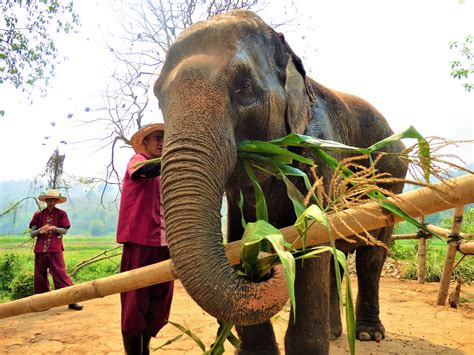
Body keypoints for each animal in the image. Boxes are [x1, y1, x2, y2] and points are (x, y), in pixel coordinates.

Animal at [156, 9, 408, 354]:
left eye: (243, 86)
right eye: (158, 96)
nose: (269, 264)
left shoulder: (318, 155)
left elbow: (312, 241)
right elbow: (239, 239)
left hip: (392, 181)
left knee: (370, 256)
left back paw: (369, 334)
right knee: (337, 259)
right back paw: (334, 332)